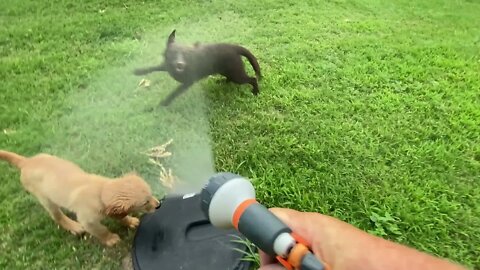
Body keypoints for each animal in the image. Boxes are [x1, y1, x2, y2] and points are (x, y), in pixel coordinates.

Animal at [0, 150, 160, 247]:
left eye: (151, 194)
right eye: (145, 202)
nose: (158, 205)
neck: (100, 190)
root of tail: (26, 162)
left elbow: (121, 216)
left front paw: (130, 221)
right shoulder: (87, 220)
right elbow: (101, 230)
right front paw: (110, 239)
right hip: (45, 198)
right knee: (57, 216)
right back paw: (74, 227)